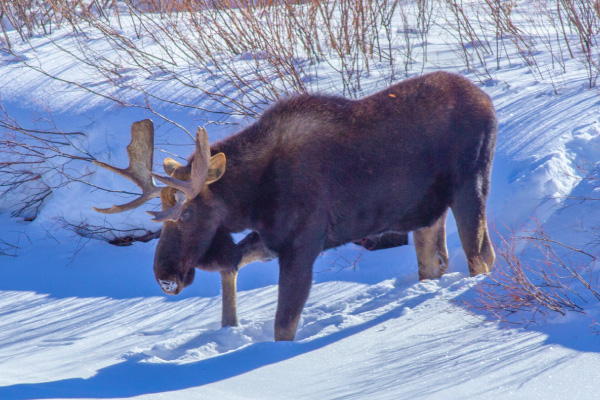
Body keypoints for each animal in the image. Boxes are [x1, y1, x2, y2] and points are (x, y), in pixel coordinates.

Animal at [95, 71, 496, 340]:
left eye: (188, 212)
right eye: (159, 217)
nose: (165, 275)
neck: (252, 199)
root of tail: (488, 101)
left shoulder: (303, 245)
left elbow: (283, 325)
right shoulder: (272, 239)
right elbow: (232, 265)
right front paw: (230, 325)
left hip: (470, 184)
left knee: (479, 258)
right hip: (427, 211)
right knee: (439, 261)